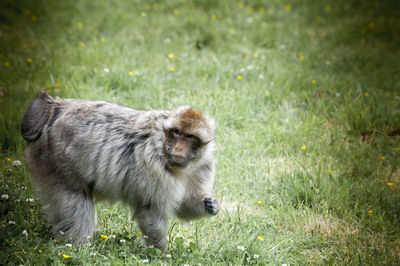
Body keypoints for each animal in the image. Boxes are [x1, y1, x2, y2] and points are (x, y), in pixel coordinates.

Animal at [20, 91, 220, 251]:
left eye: (189, 137)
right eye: (177, 133)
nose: (178, 148)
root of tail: (54, 109)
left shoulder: (203, 166)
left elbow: (184, 204)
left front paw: (211, 204)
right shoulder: (152, 167)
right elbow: (150, 209)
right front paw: (161, 253)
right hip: (54, 160)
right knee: (75, 199)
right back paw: (78, 250)